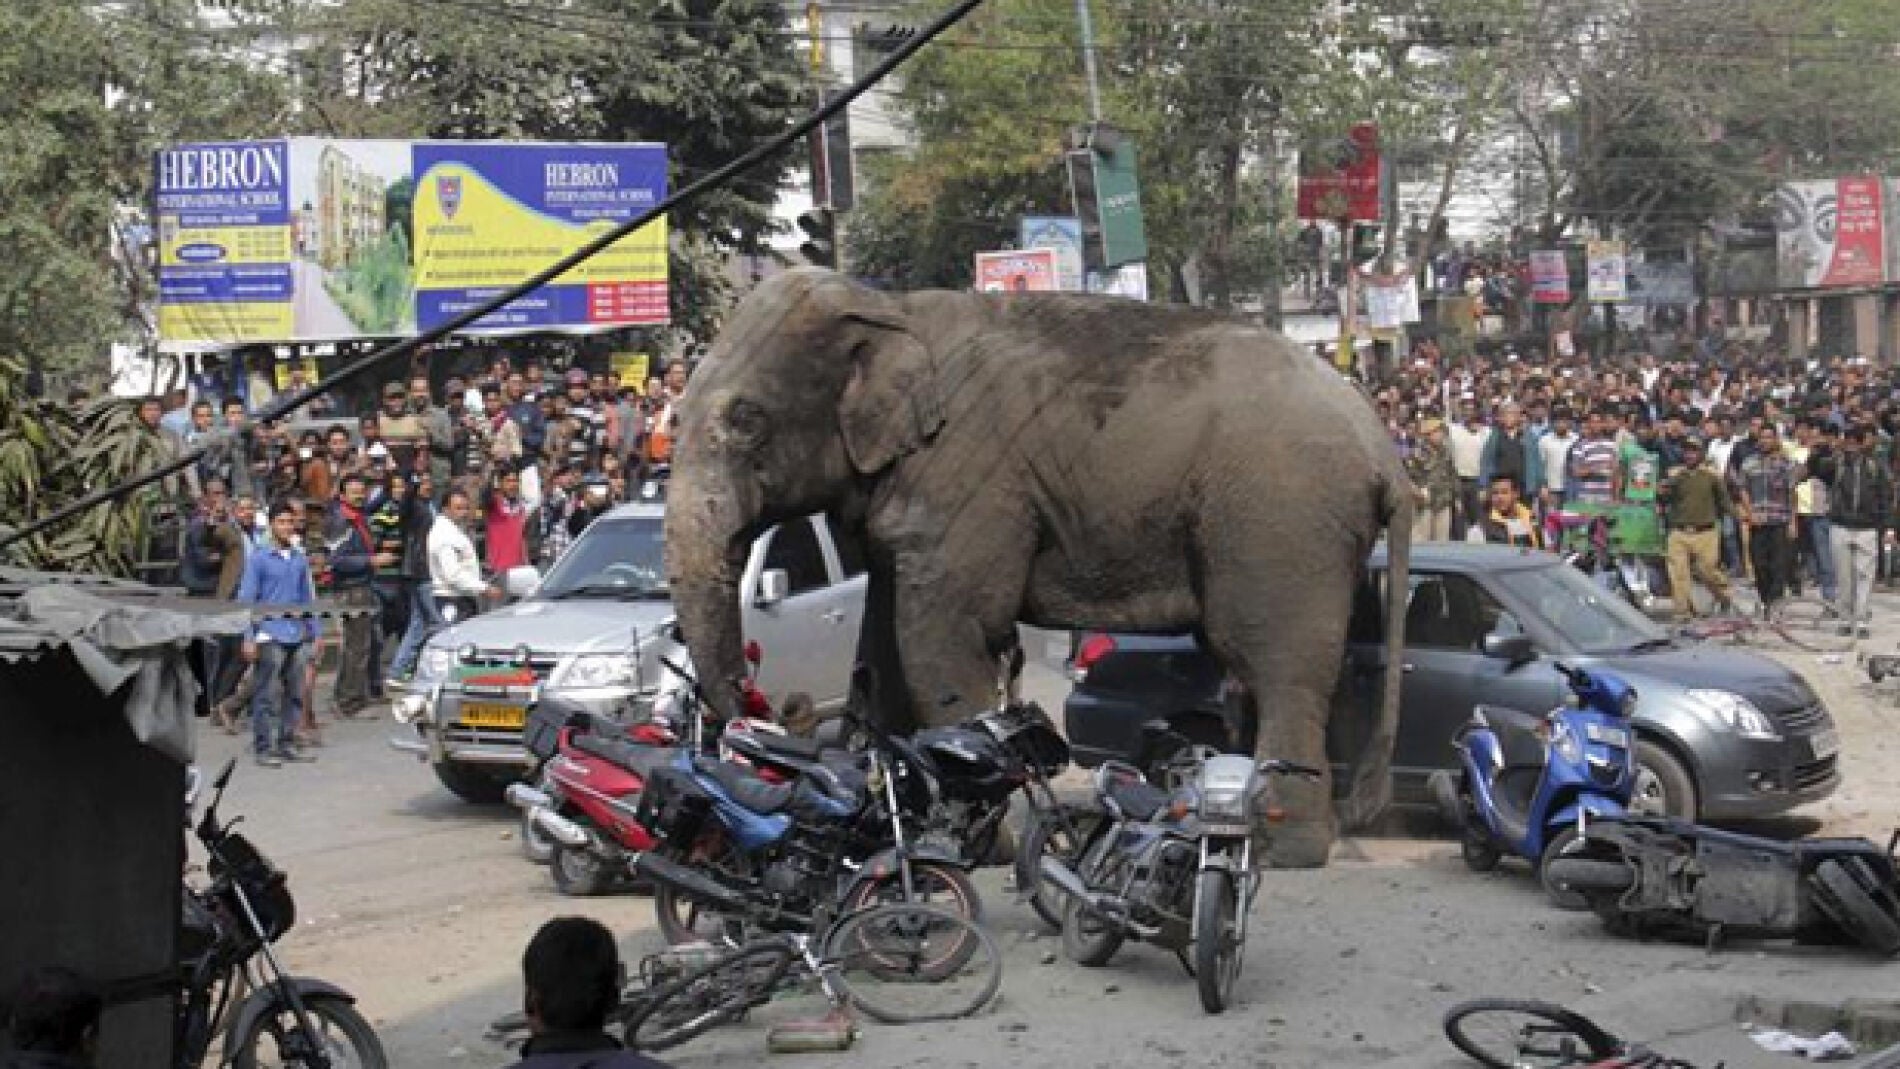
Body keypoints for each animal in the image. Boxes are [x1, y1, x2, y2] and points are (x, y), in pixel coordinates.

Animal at [664, 268, 1413, 866]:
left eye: (746, 419)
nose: (769, 709)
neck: (887, 309)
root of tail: (1385, 452)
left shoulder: (968, 482)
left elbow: (947, 635)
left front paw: (973, 845)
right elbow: (882, 644)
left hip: (1282, 521)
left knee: (1275, 664)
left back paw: (1284, 847)